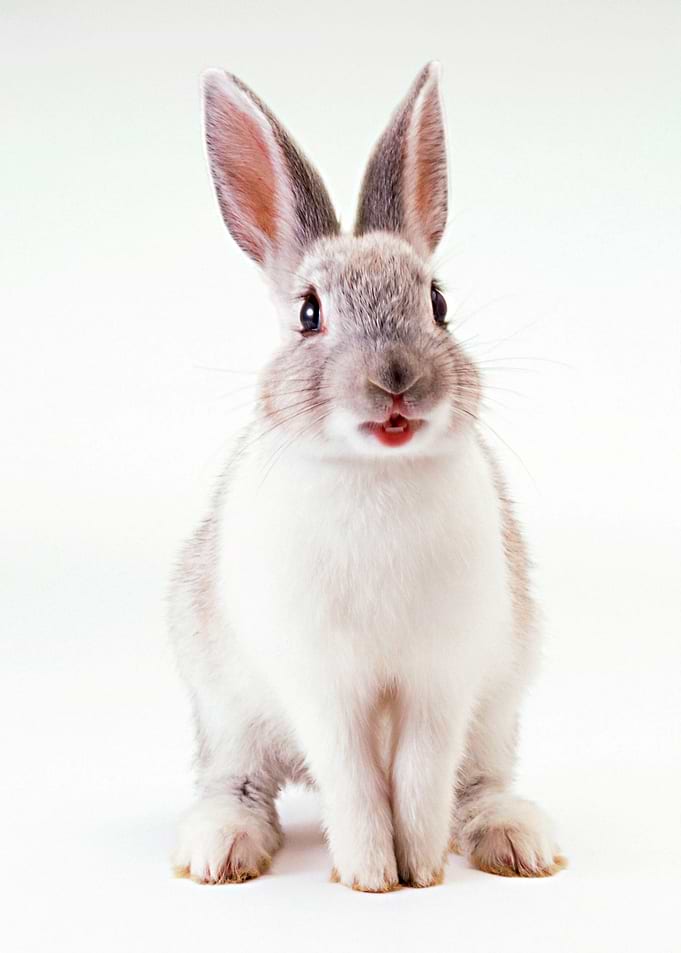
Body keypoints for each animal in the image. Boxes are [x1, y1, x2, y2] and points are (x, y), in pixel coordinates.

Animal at [169, 62, 566, 892]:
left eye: (438, 303)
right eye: (308, 313)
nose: (395, 380)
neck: (377, 474)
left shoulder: (440, 683)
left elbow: (418, 782)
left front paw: (419, 872)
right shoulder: (324, 687)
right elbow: (354, 783)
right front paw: (369, 875)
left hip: (496, 711)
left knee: (476, 783)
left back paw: (516, 840)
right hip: (228, 714)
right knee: (237, 782)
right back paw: (219, 847)